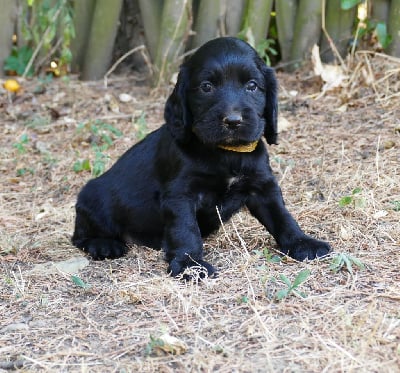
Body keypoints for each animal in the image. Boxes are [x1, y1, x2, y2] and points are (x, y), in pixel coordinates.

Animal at [72, 37, 332, 276]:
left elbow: (281, 216)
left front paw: (302, 242)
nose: (233, 121)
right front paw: (190, 265)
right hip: (92, 197)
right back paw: (103, 244)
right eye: (206, 87)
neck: (225, 153)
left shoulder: (263, 186)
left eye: (252, 86)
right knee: (80, 234)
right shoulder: (180, 195)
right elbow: (185, 230)